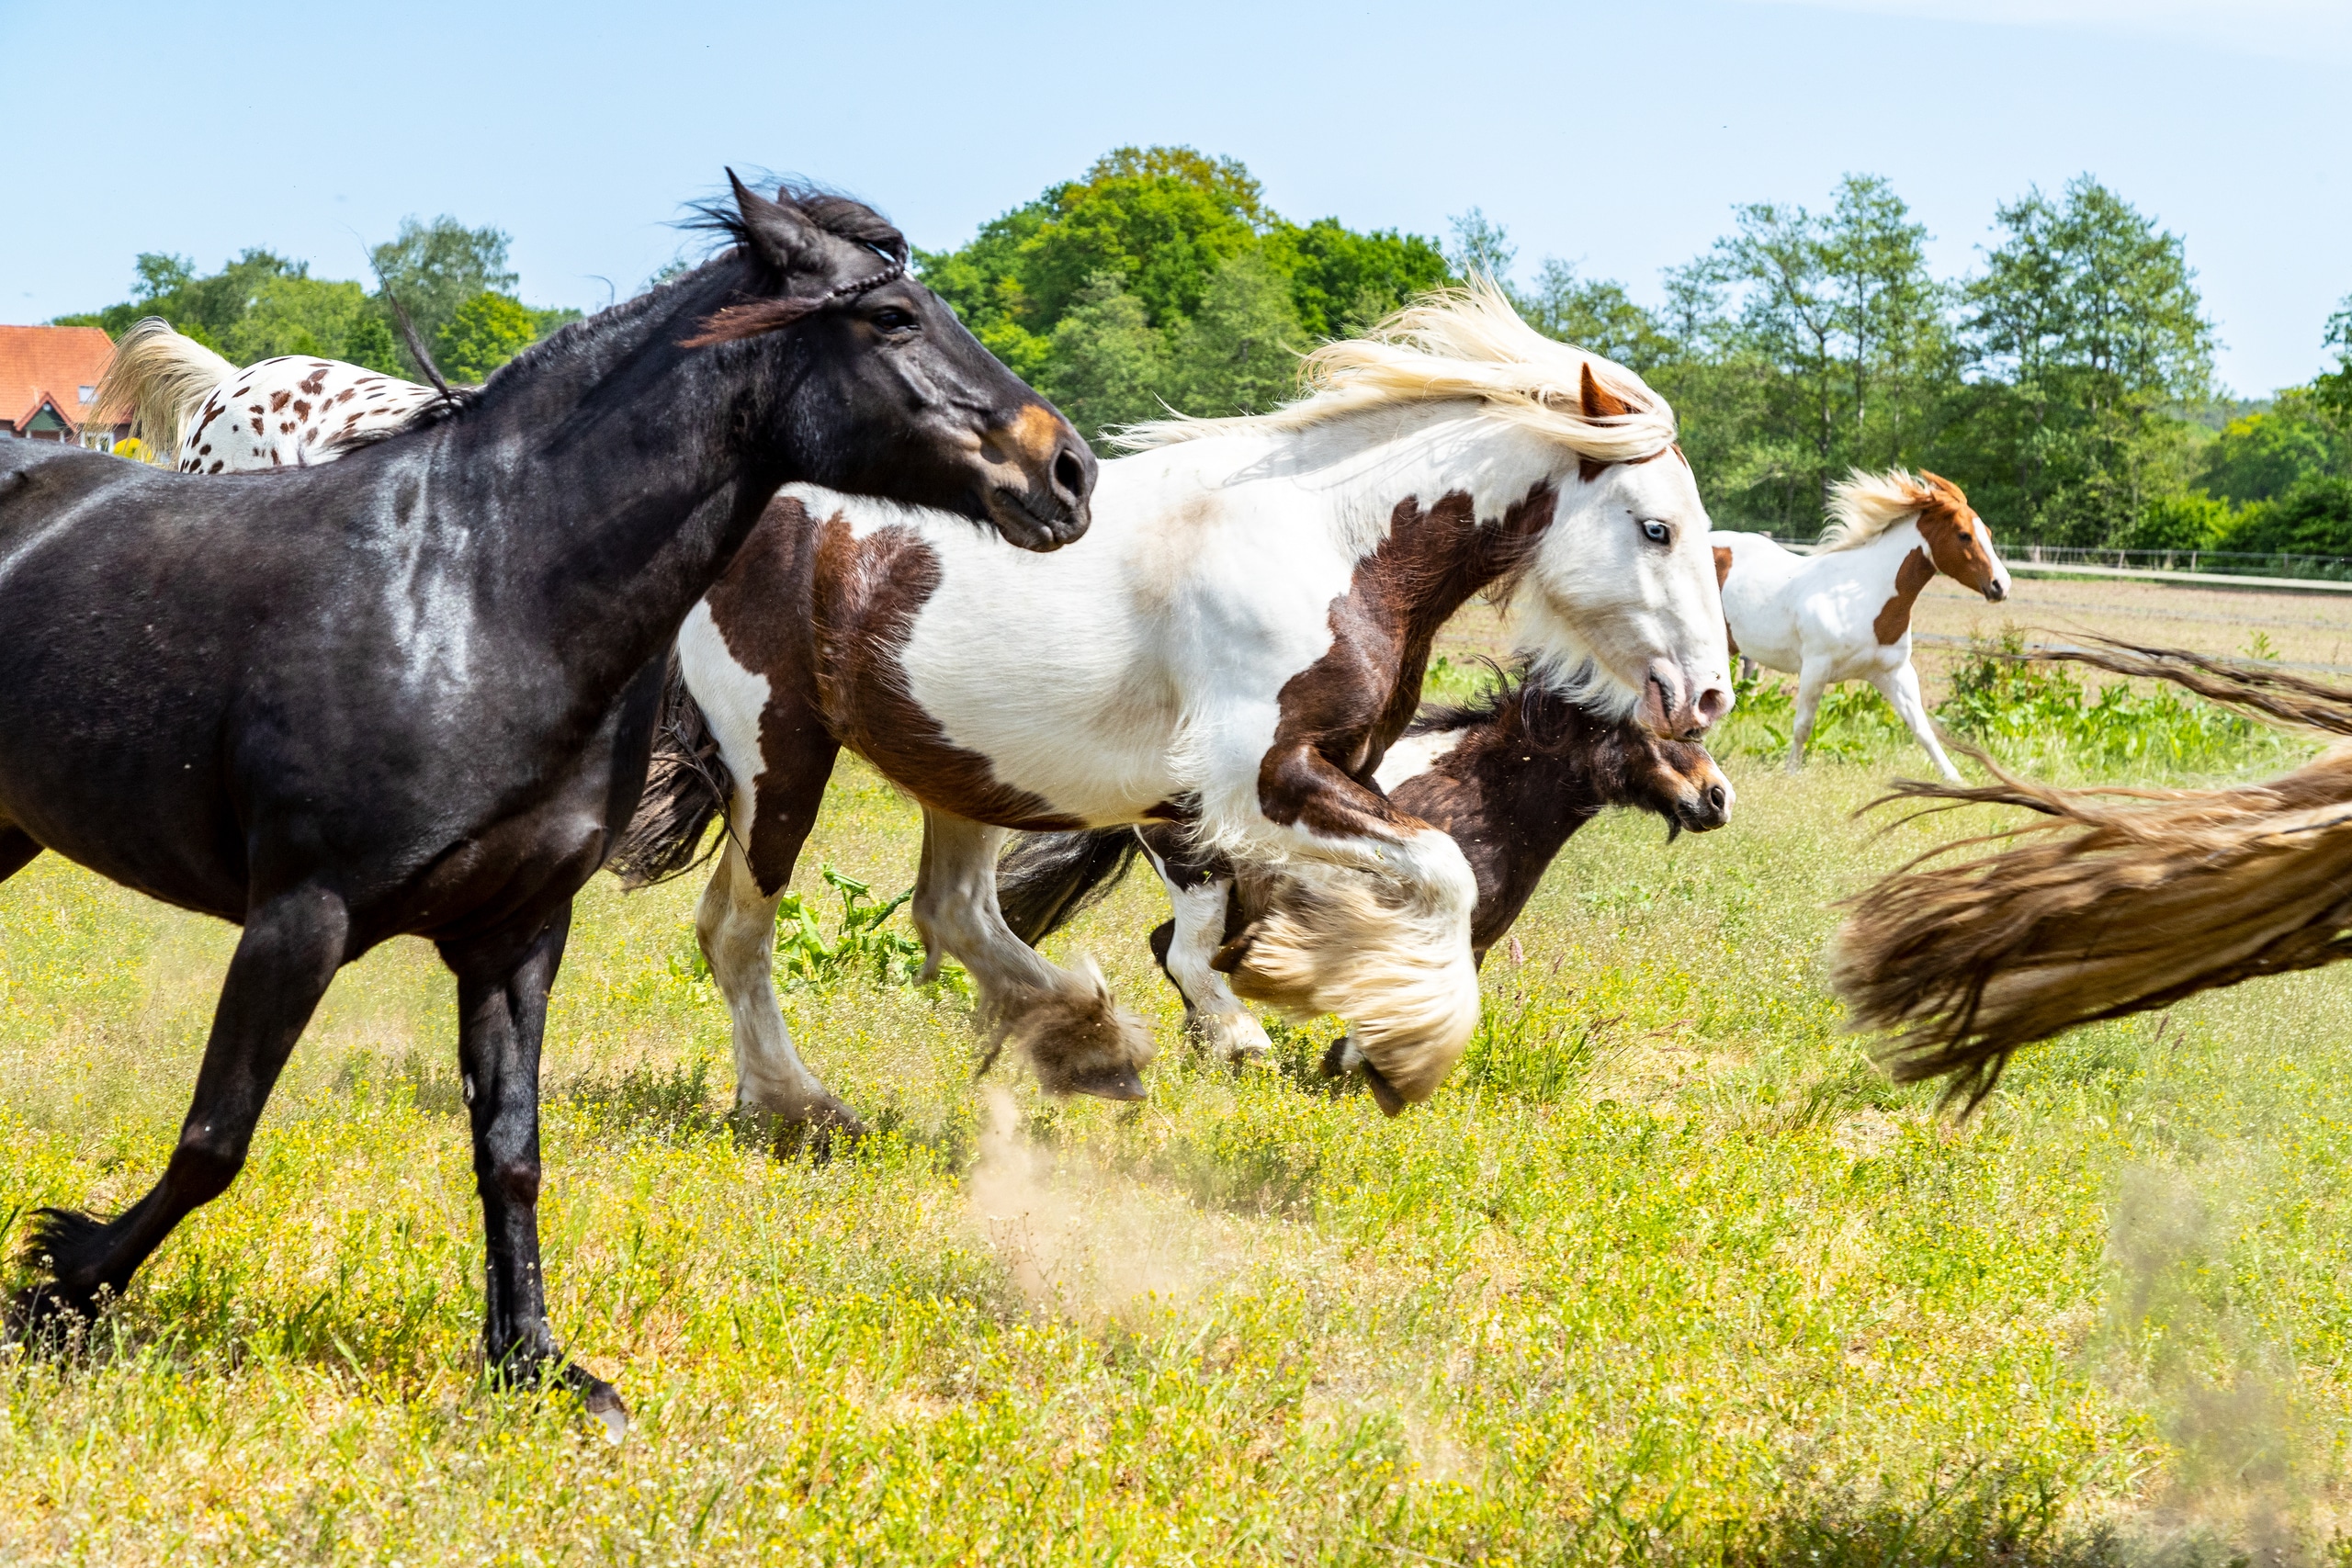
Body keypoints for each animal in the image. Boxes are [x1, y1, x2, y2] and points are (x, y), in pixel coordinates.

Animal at [2, 173, 1093, 1432]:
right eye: (893, 319)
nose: (1071, 474)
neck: (473, 591)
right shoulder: (299, 917)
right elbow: (213, 1142)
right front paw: (62, 1284)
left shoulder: (516, 933)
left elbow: (511, 1152)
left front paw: (536, 1364)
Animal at [996, 669, 1734, 1107]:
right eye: (1660, 724)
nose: (1718, 797)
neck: (1480, 797)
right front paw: (1357, 1066)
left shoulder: (1473, 940)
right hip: (1201, 876)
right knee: (1185, 957)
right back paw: (1245, 1045)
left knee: (1169, 950)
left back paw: (1212, 1049)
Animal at [1713, 469, 2009, 782]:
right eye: (1964, 535)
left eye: (1988, 533)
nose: (2001, 586)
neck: (1863, 597)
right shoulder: (1815, 668)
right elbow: (1803, 725)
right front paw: (1791, 772)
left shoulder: (1895, 672)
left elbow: (1922, 728)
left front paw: (1954, 778)